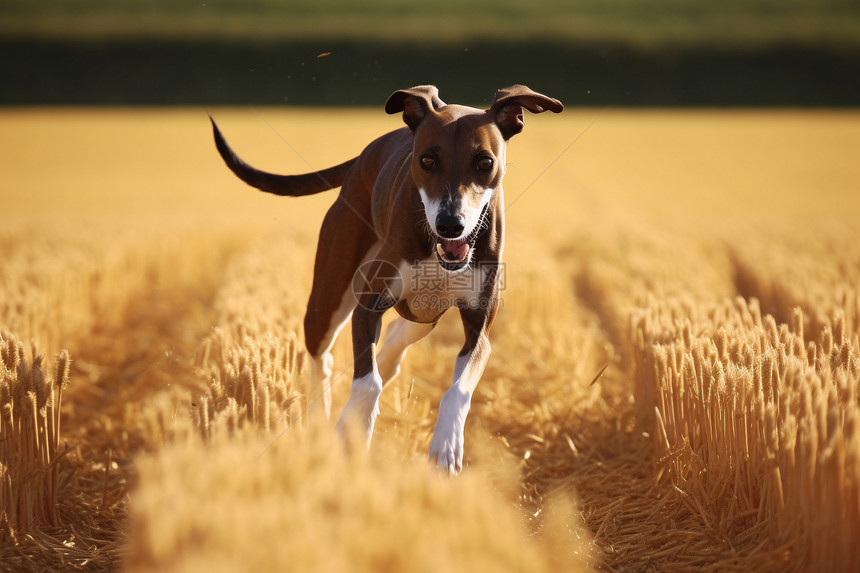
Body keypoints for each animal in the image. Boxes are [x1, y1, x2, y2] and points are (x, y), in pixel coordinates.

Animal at [212, 84, 564, 470]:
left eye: (485, 162)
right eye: (427, 160)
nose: (450, 224)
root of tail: (365, 154)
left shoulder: (479, 327)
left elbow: (458, 387)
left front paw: (446, 445)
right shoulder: (368, 304)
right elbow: (368, 382)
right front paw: (353, 430)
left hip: (425, 310)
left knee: (400, 334)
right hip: (330, 292)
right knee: (323, 355)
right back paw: (321, 420)